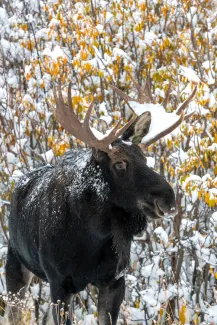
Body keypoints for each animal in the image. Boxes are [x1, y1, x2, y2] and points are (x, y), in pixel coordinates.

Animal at [5, 76, 197, 324]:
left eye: (145, 159)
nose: (168, 198)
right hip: (16, 263)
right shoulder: (59, 282)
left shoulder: (114, 280)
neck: (92, 237)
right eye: (120, 164)